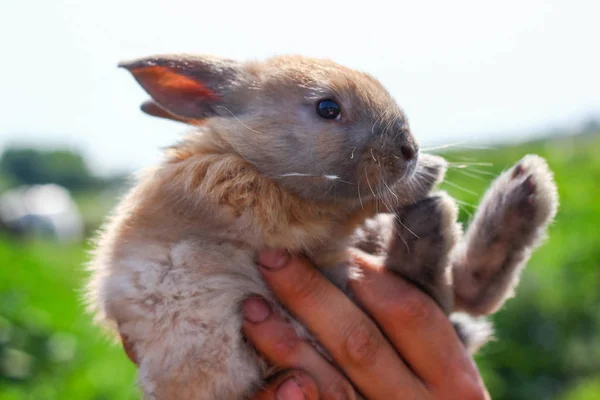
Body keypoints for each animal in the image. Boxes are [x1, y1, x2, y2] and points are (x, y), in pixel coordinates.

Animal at [86, 54, 560, 400]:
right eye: (327, 108)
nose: (410, 150)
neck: (243, 154)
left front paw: (428, 170)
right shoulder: (279, 209)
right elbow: (353, 204)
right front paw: (428, 174)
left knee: (459, 294)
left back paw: (525, 191)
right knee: (441, 290)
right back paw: (451, 215)